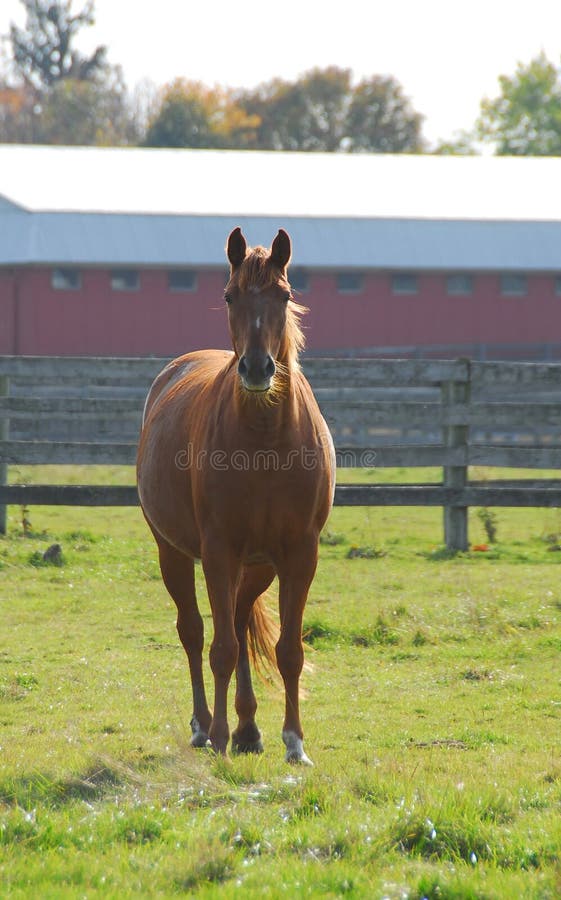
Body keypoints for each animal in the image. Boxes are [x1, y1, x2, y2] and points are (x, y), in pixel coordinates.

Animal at [138, 229, 334, 764]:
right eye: (230, 296)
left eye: (283, 296)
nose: (257, 368)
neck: (265, 443)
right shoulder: (219, 552)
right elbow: (220, 648)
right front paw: (220, 738)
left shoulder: (299, 554)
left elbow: (289, 650)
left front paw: (295, 743)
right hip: (174, 553)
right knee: (194, 631)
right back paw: (206, 727)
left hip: (260, 565)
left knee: (243, 618)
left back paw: (249, 729)